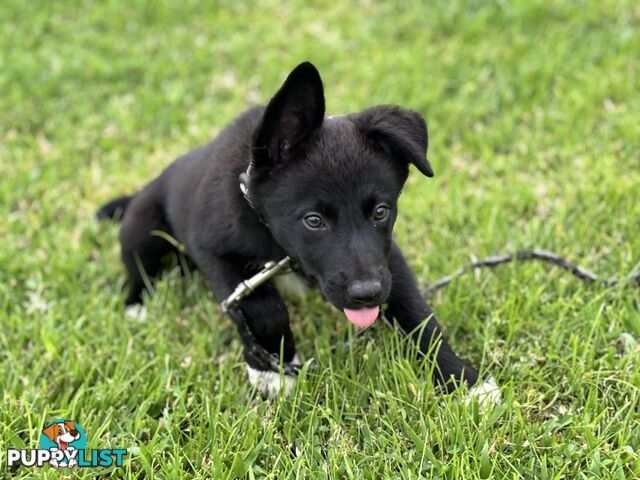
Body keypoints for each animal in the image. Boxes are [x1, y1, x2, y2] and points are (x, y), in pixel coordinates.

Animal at [99, 62, 500, 404]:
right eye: (313, 220)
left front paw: (464, 381)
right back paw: (137, 305)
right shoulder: (216, 254)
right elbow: (261, 308)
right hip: (143, 230)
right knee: (137, 270)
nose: (367, 295)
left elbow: (418, 314)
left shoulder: (386, 260)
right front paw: (270, 368)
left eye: (381, 212)